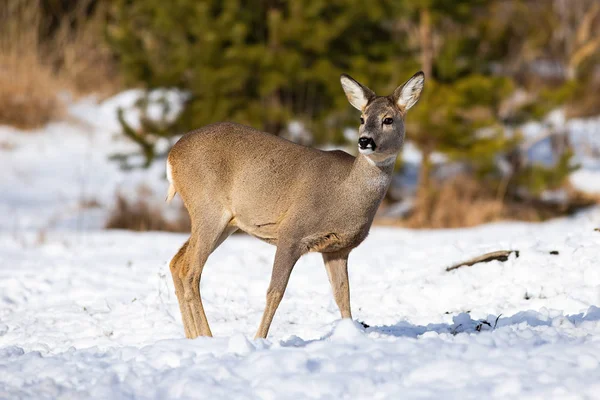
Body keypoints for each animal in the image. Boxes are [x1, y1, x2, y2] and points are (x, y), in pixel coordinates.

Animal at [166, 71, 424, 338]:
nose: (365, 141)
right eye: (362, 118)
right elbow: (275, 292)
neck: (344, 195)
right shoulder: (292, 231)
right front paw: (259, 338)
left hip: (226, 222)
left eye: (388, 119)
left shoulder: (337, 249)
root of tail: (171, 155)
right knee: (190, 270)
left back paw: (193, 337)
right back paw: (206, 336)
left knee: (176, 263)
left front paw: (350, 334)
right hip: (208, 208)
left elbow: (343, 296)